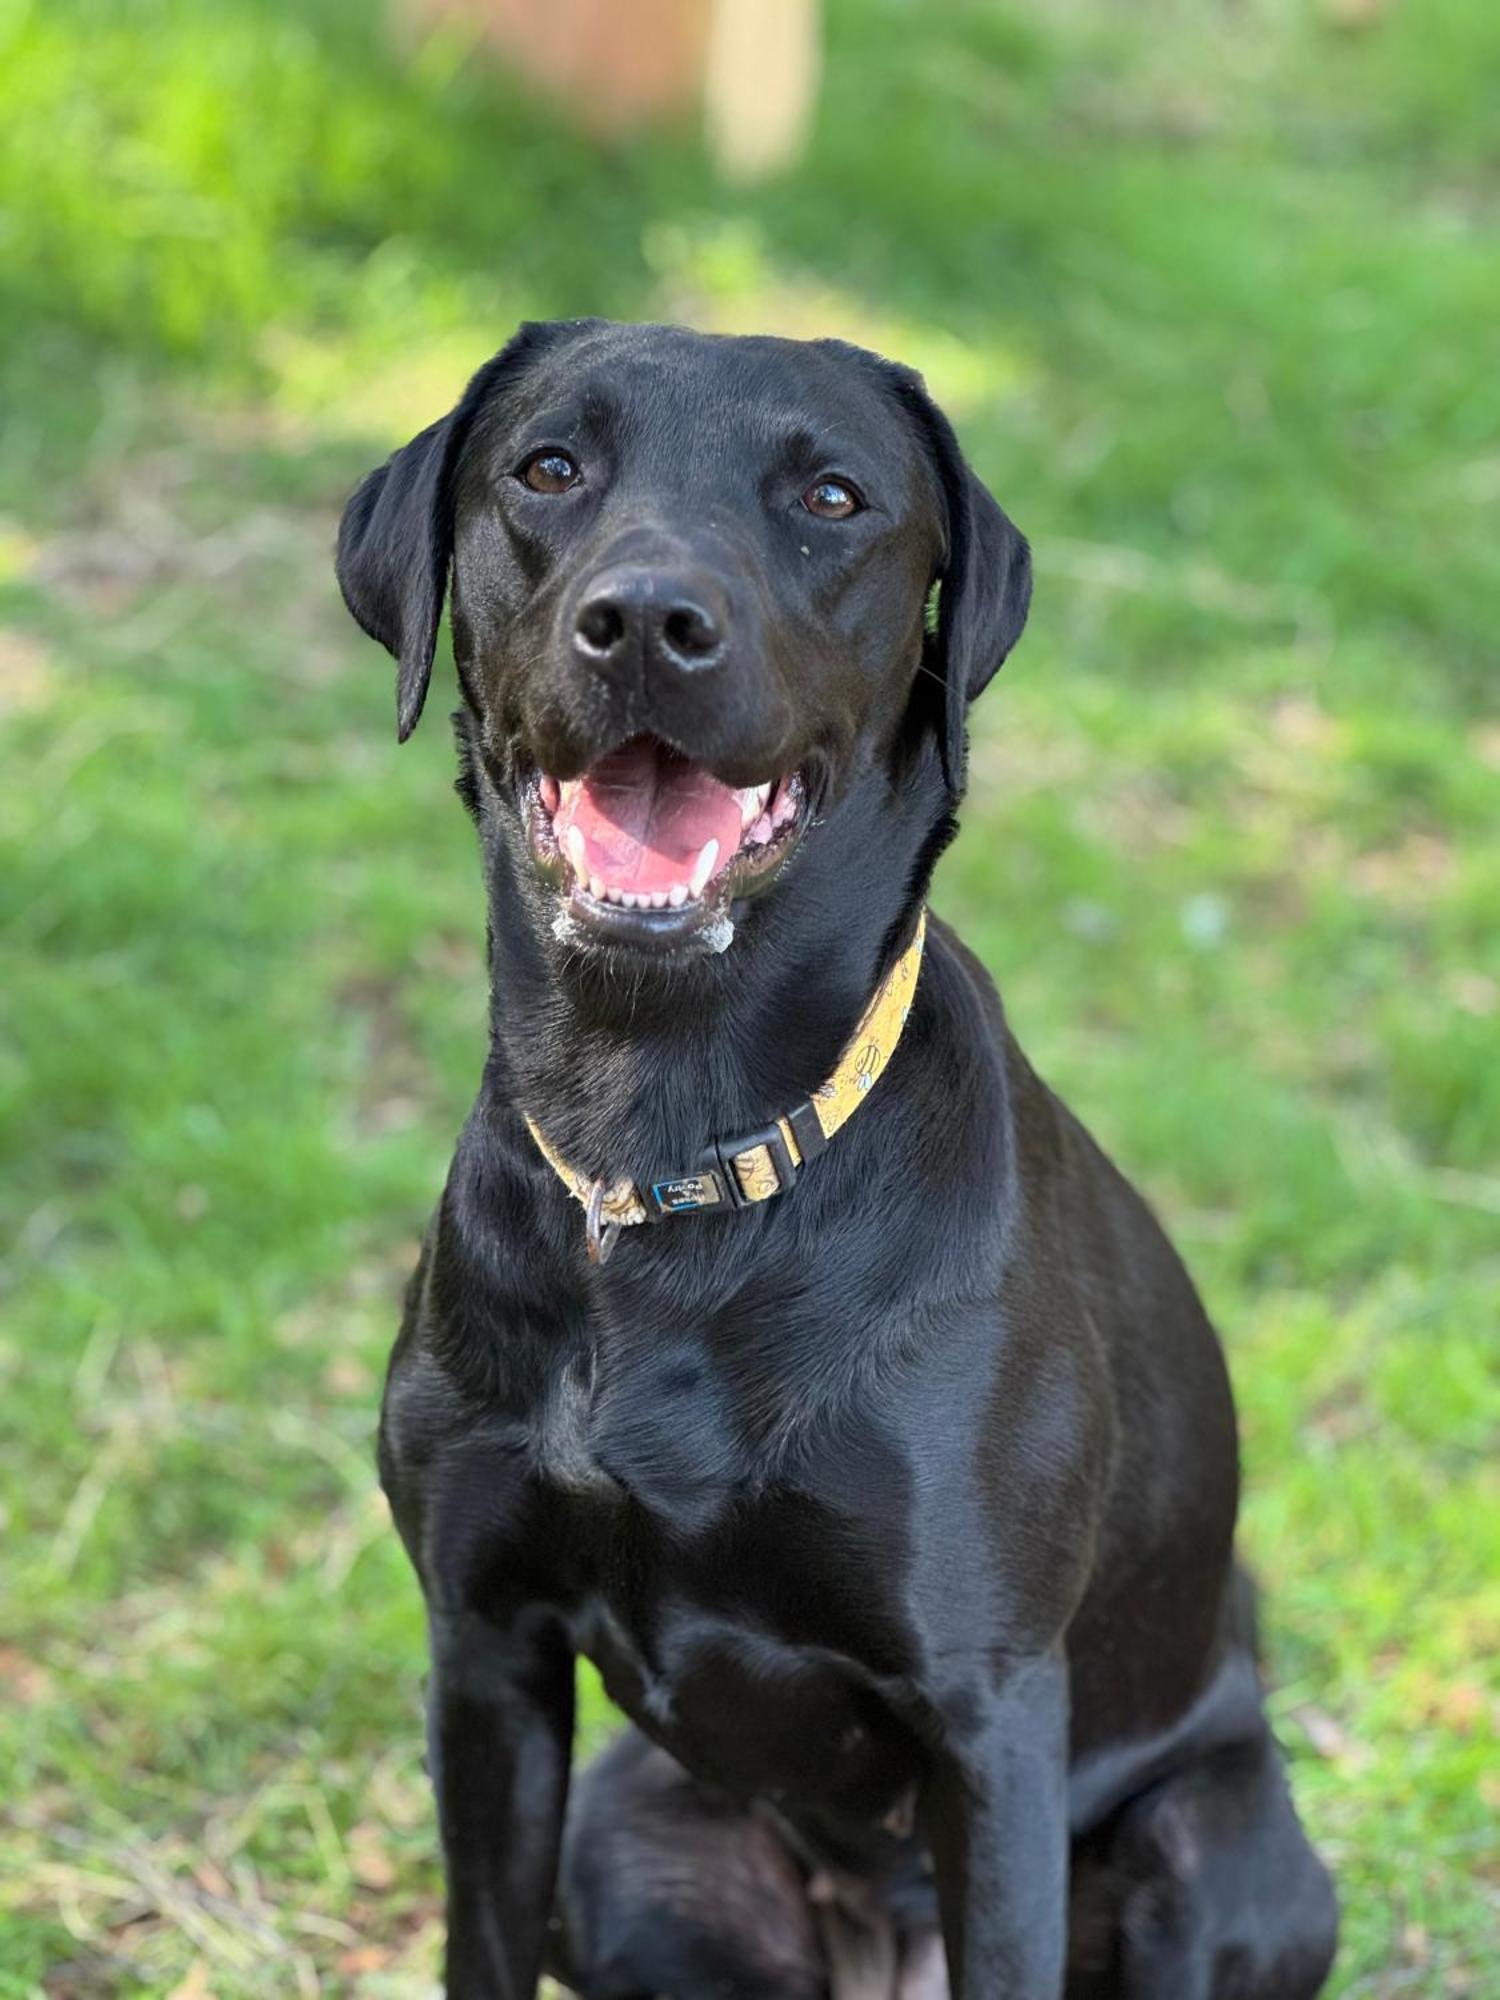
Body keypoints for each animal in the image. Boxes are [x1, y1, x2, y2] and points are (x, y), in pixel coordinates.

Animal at [338, 320, 1336, 1992]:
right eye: (547, 467)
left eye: (831, 496)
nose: (647, 623)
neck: (663, 1144)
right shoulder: (485, 1654)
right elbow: (479, 1943)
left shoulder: (987, 1712)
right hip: (629, 1841)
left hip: (1223, 1858)